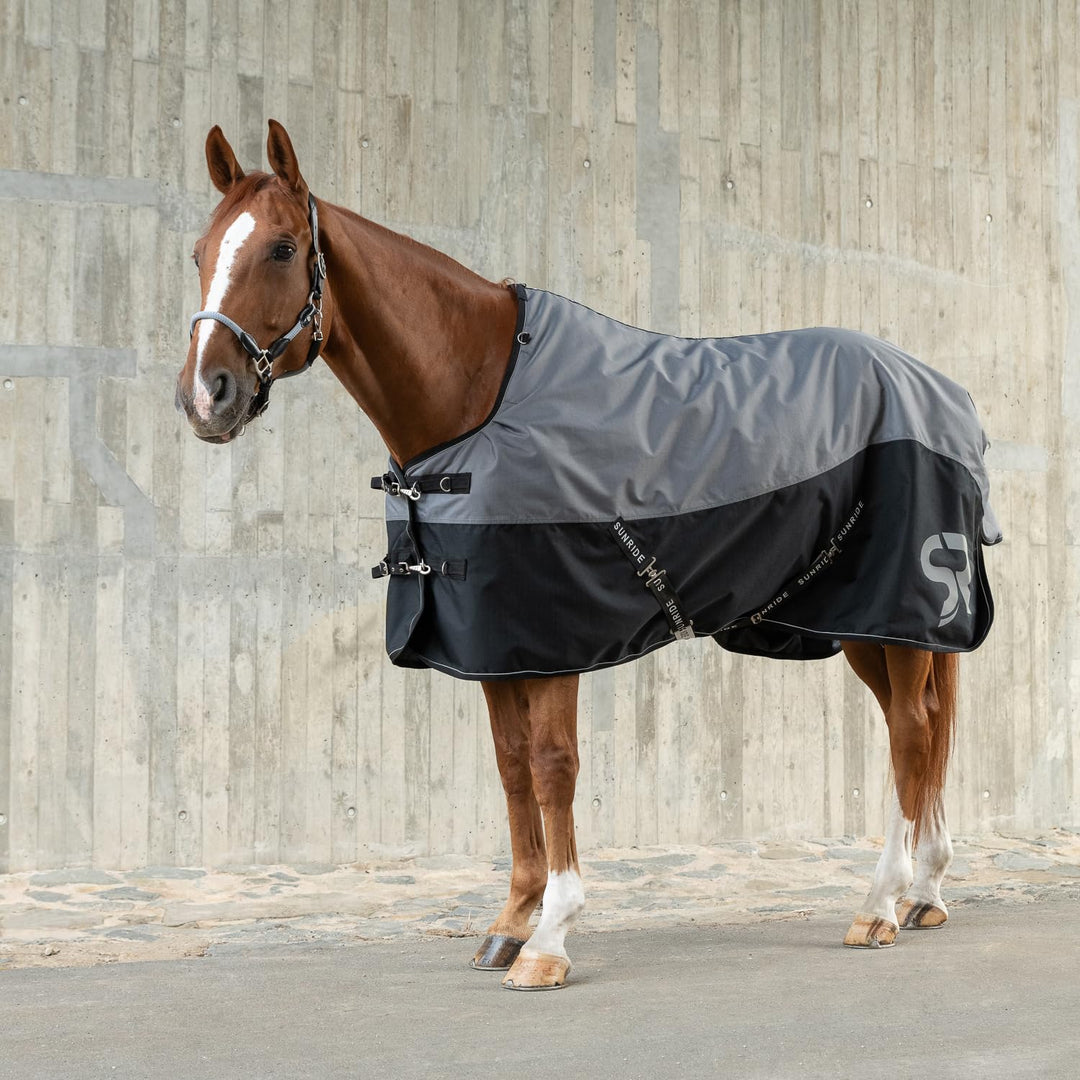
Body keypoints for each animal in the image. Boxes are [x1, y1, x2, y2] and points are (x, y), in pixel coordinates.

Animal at [176, 120, 998, 990]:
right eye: (199, 252)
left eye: (281, 249)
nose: (206, 396)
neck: (481, 393)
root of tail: (943, 394)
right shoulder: (492, 642)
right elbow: (511, 768)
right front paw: (510, 921)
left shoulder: (551, 636)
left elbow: (552, 766)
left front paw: (552, 937)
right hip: (859, 621)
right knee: (920, 729)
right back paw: (924, 893)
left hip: (897, 611)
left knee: (910, 730)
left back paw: (879, 905)